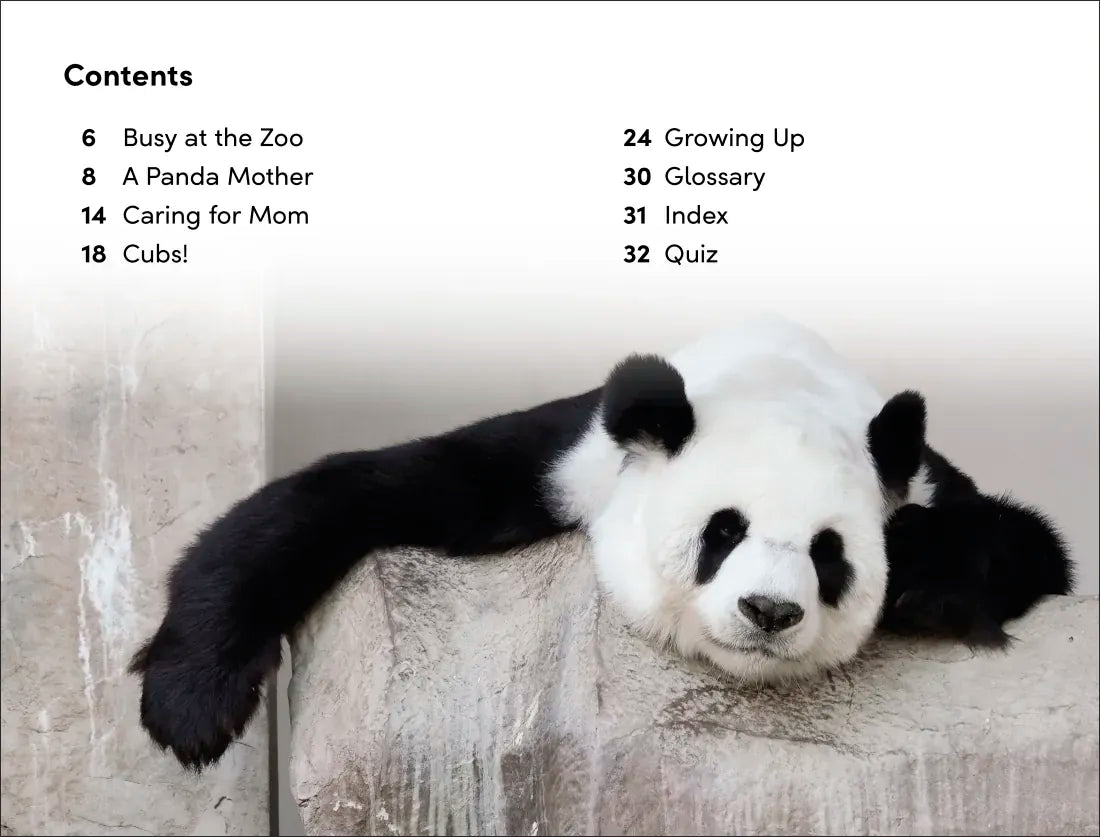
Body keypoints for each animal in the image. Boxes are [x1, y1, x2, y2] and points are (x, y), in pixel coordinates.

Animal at [129, 316, 1072, 769]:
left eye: (829, 551)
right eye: (722, 530)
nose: (769, 610)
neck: (778, 372)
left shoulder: (918, 470)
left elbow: (1030, 544)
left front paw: (925, 580)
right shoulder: (575, 459)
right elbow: (360, 489)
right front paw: (190, 705)